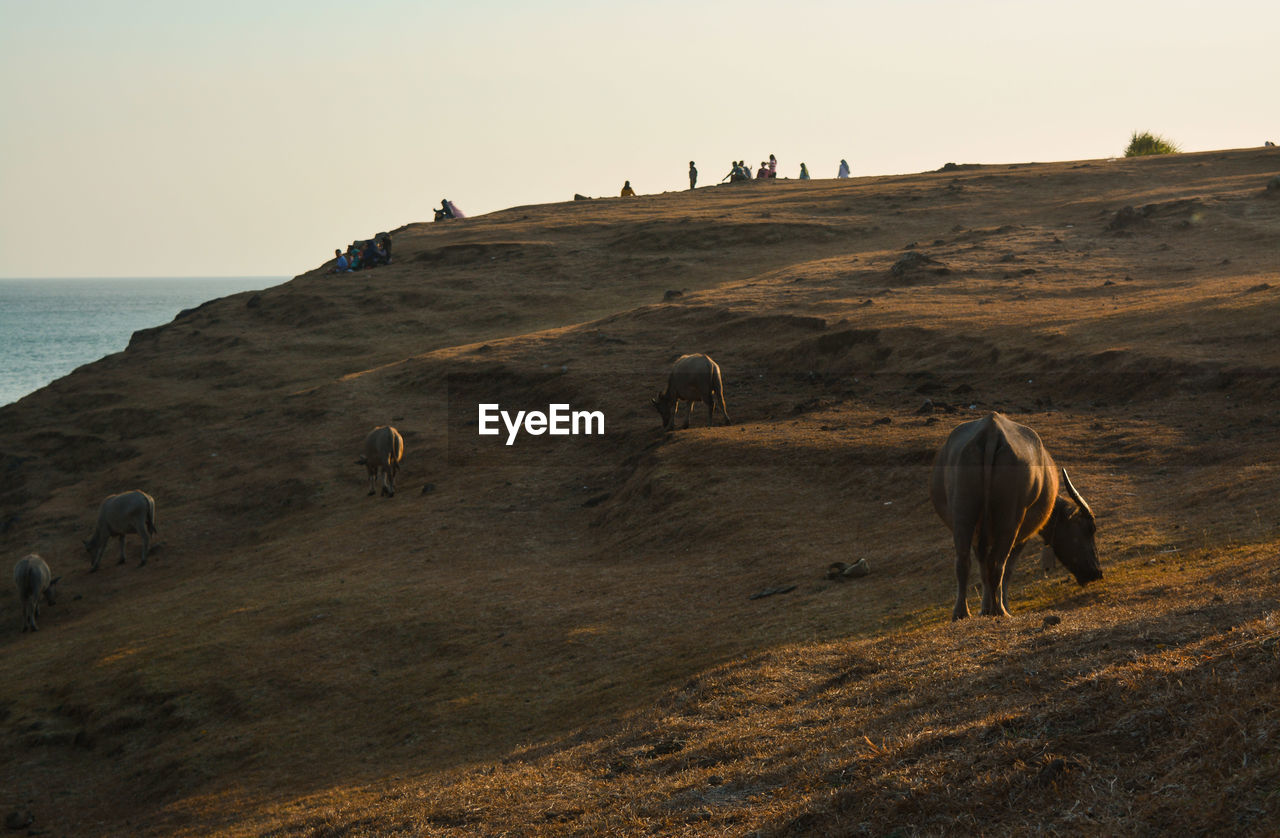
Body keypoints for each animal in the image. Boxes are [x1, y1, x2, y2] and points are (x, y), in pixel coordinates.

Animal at [931, 414, 1100, 619]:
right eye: (1089, 529)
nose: (1097, 572)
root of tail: (991, 429)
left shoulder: (978, 535)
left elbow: (982, 567)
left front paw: (985, 609)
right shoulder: (1023, 536)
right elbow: (1008, 569)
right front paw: (997, 606)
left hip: (963, 513)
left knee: (964, 561)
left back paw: (962, 613)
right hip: (1010, 520)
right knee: (999, 564)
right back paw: (1001, 611)